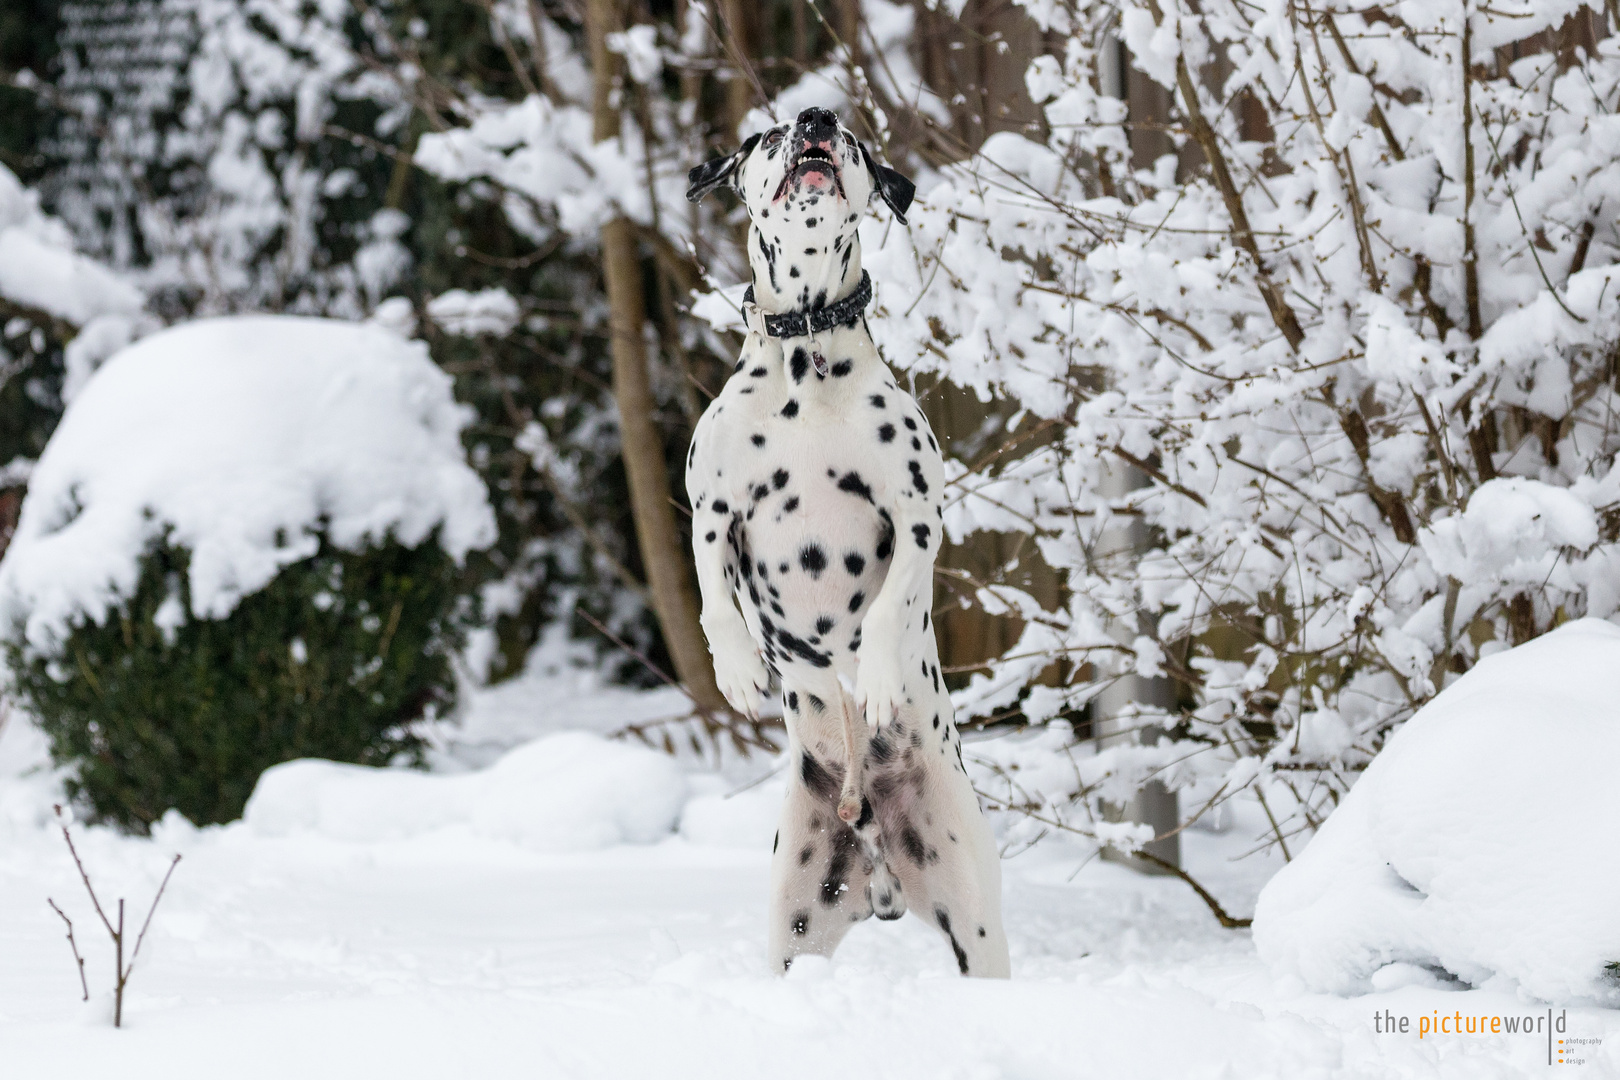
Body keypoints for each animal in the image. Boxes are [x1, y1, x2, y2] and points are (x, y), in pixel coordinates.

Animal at [683, 107, 1010, 977]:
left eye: (856, 141)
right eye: (767, 137)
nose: (816, 119)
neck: (806, 364)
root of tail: (868, 833)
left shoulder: (918, 509)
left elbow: (893, 605)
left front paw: (880, 679)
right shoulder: (710, 506)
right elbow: (712, 600)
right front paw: (737, 670)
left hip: (977, 925)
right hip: (793, 928)